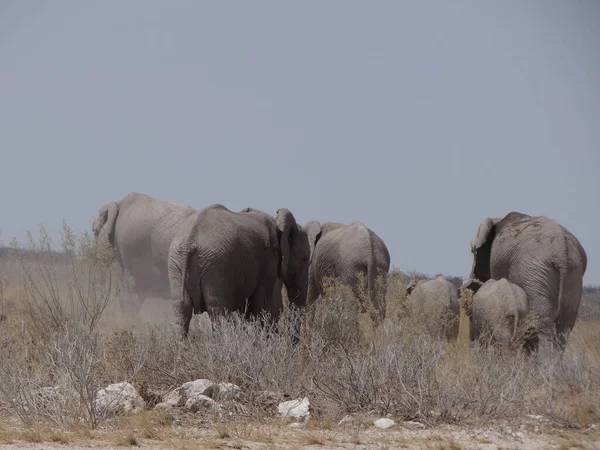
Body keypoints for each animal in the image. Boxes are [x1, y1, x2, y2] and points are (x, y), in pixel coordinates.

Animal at [168, 204, 312, 338]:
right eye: (305, 259)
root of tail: (190, 240)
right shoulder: (269, 260)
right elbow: (262, 305)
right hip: (215, 265)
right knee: (218, 313)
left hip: (177, 264)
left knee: (181, 312)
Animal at [468, 212, 584, 352]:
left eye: (473, 251)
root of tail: (561, 252)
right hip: (574, 276)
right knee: (564, 327)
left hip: (534, 273)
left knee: (541, 325)